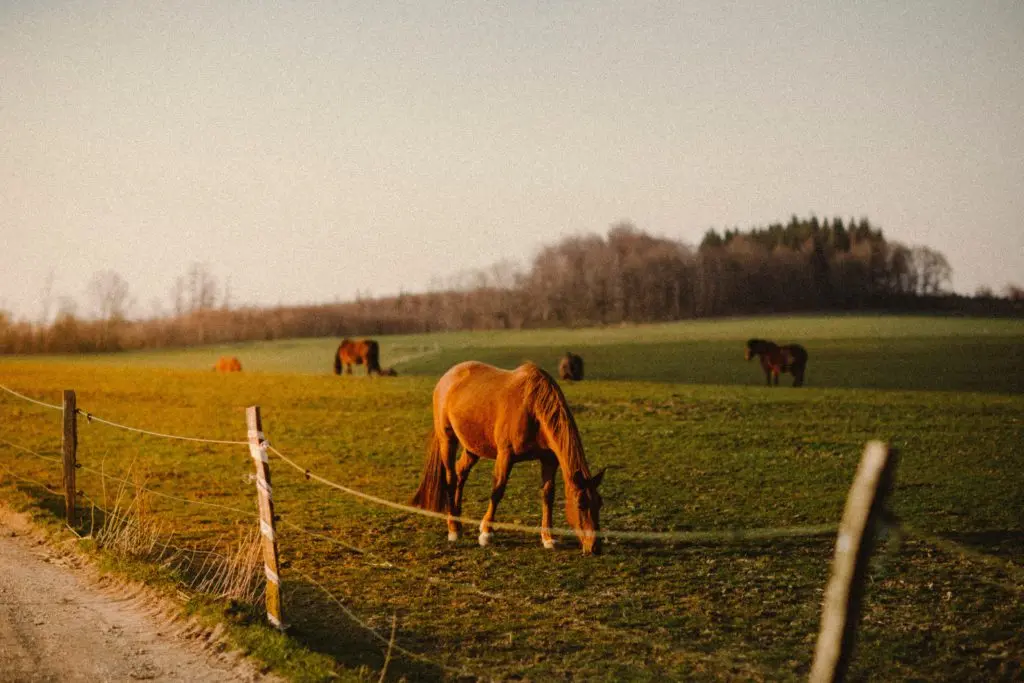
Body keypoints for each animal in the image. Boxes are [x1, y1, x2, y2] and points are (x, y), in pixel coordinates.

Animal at [409, 362, 602, 557]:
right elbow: (497, 491)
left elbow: (548, 495)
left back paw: (458, 519)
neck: (532, 406)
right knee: (451, 478)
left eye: (599, 504)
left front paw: (548, 538)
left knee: (460, 473)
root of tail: (447, 377)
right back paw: (453, 528)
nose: (595, 547)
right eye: (581, 505)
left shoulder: (549, 460)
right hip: (447, 440)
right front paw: (486, 533)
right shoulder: (505, 455)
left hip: (472, 448)